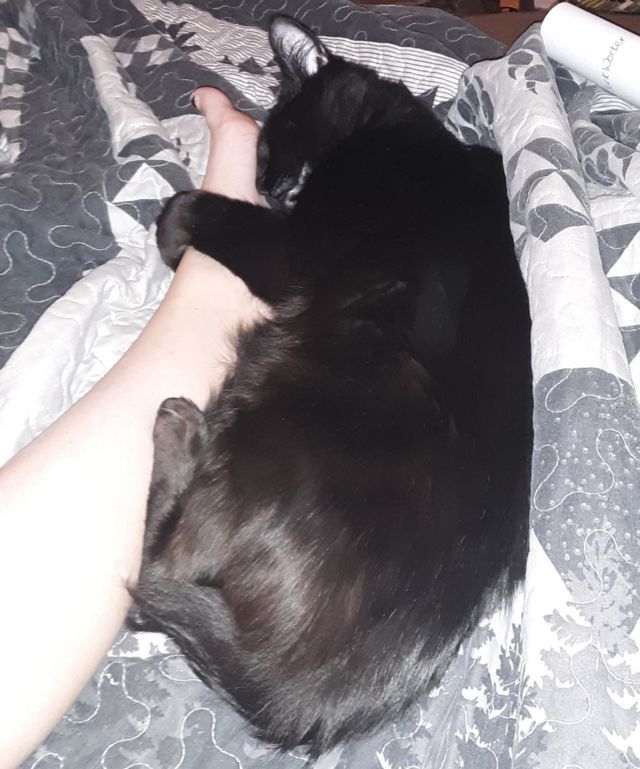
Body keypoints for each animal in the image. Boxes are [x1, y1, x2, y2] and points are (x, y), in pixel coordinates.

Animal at [129, 15, 532, 757]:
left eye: (275, 142)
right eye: (260, 161)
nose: (271, 185)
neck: (401, 134)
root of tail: (306, 692)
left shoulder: (294, 248)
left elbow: (207, 213)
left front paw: (172, 228)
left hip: (268, 402)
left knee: (161, 570)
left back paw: (179, 424)